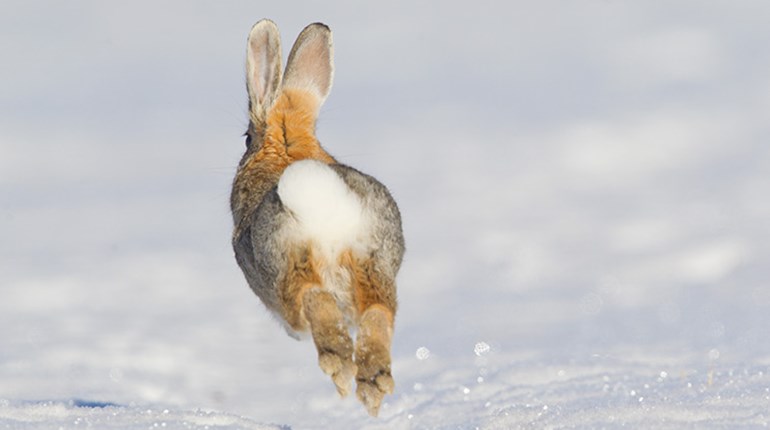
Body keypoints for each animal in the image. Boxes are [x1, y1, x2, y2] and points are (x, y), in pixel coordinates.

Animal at [230, 19, 405, 417]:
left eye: (246, 137)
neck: (287, 149)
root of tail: (319, 194)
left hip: (286, 264)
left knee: (313, 297)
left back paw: (339, 366)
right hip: (374, 259)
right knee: (378, 311)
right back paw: (372, 383)